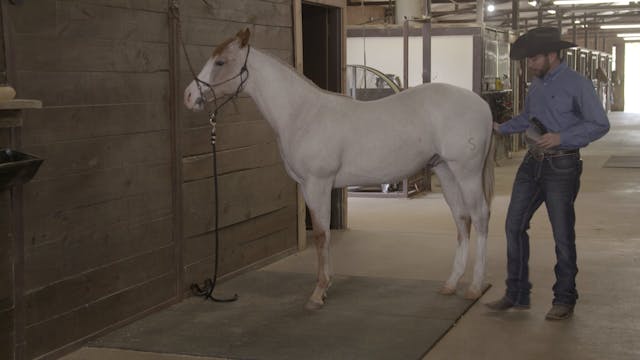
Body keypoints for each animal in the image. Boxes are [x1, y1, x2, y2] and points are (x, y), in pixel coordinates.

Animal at [185, 28, 496, 310]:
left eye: (220, 62)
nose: (189, 96)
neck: (302, 113)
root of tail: (482, 105)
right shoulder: (309, 187)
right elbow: (324, 233)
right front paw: (327, 284)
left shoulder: (317, 184)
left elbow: (321, 235)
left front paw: (318, 293)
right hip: (445, 171)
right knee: (461, 219)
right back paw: (450, 284)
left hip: (466, 173)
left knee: (480, 217)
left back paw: (475, 287)